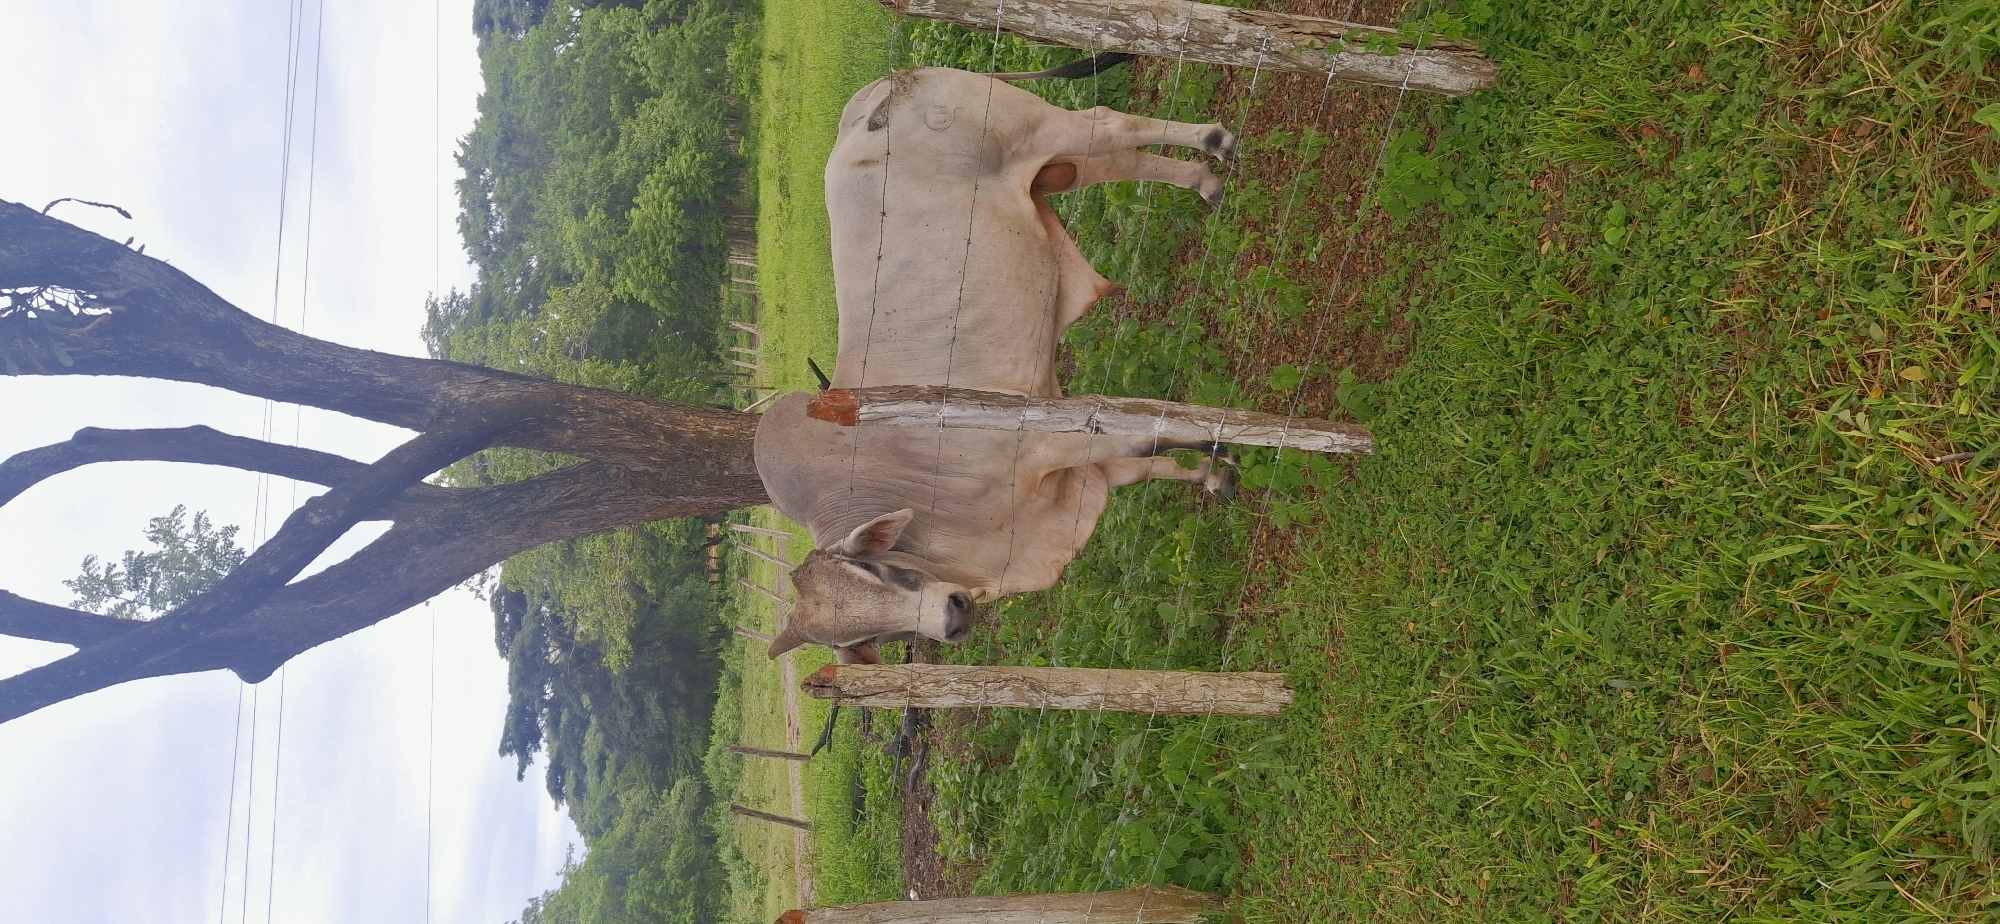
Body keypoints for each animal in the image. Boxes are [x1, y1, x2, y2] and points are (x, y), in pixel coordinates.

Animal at [756, 65, 1241, 665]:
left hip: (1034, 128)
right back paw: (1205, 182)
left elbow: (1150, 434)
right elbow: (1154, 464)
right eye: (860, 639)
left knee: (1107, 123)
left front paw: (1221, 447)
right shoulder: (1080, 473)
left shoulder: (1046, 436)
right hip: (1053, 169)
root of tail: (876, 91)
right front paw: (1212, 477)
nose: (951, 617)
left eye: (875, 568)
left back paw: (1216, 143)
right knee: (1117, 161)